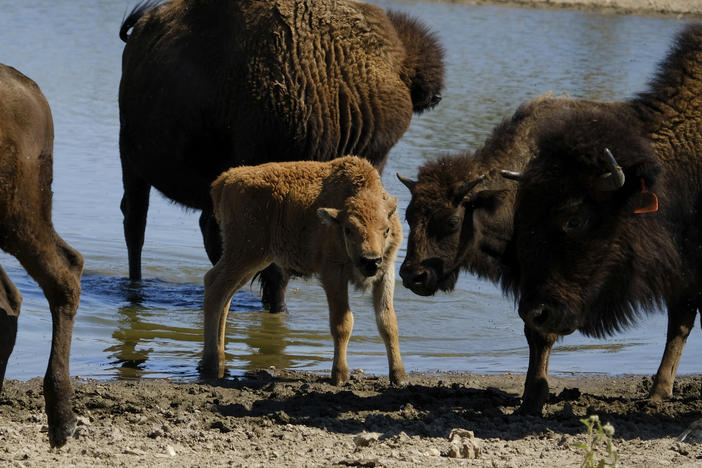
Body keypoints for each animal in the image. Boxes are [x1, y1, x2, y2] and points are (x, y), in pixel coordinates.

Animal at [117, 0, 442, 314]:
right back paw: (135, 290)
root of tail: (143, 26)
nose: (369, 261)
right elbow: (273, 269)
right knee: (135, 224)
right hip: (130, 163)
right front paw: (278, 309)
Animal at [201, 156, 408, 384]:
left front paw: (399, 376)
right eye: (348, 229)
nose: (370, 261)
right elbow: (342, 322)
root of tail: (226, 179)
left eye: (386, 229)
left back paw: (219, 359)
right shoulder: (333, 273)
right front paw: (339, 375)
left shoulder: (385, 272)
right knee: (215, 290)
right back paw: (212, 363)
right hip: (244, 252)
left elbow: (388, 322)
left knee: (224, 294)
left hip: (254, 258)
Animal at [512, 23, 702, 414]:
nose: (534, 313)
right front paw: (657, 394)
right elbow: (679, 322)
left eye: (574, 219)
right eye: (521, 216)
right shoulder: (684, 269)